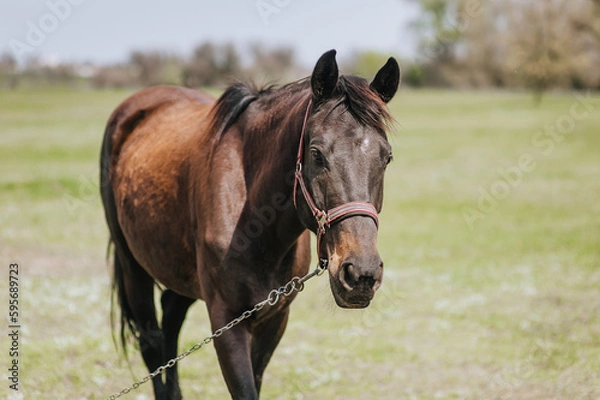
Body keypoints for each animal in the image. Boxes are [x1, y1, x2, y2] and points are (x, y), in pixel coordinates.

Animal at [99, 50, 398, 400]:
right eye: (316, 153)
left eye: (387, 157)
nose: (361, 274)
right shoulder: (226, 321)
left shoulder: (274, 316)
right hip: (133, 266)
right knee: (152, 343)